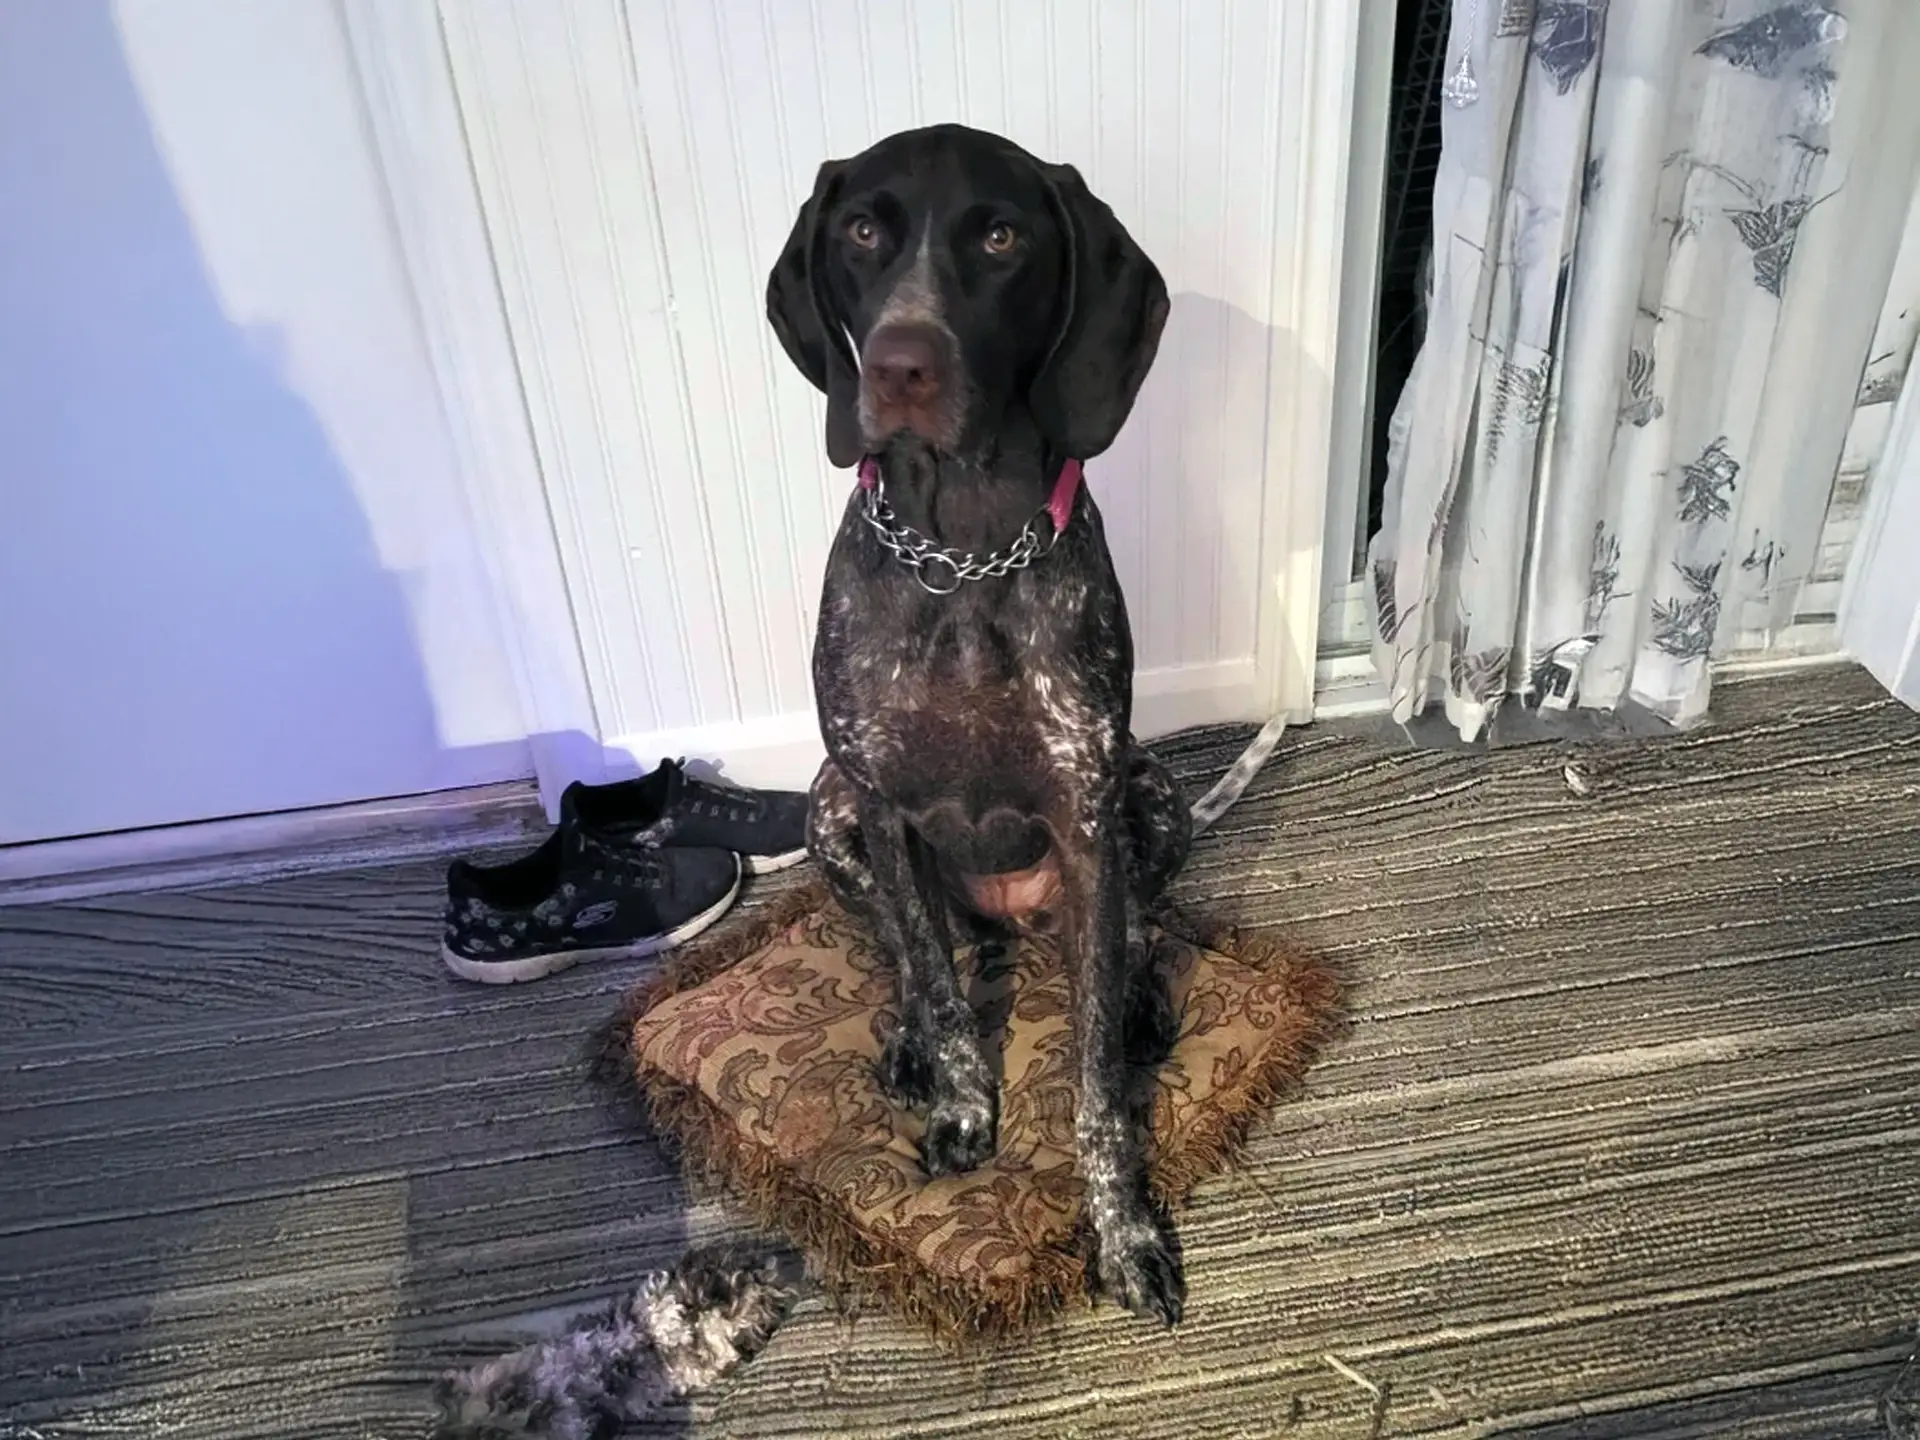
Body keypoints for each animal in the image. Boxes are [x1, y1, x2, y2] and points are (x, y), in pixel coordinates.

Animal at [760, 126, 1182, 1328]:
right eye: (863, 230)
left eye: (1000, 237)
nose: (900, 365)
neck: (962, 555)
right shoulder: (882, 805)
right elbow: (942, 990)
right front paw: (959, 1107)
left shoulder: (1089, 813)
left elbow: (1094, 1080)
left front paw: (1123, 1230)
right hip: (827, 809)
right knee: (912, 949)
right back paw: (906, 1034)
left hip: (1152, 795)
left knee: (1136, 935)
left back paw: (1142, 999)